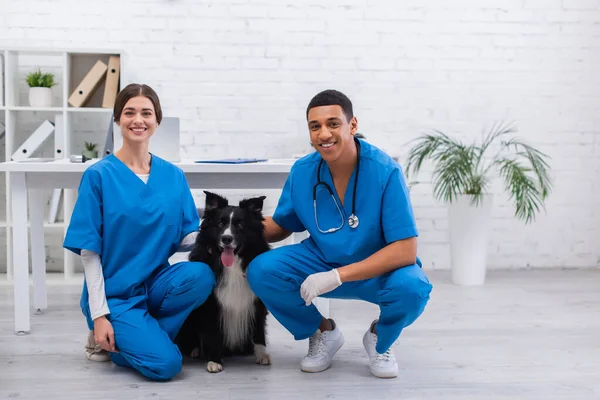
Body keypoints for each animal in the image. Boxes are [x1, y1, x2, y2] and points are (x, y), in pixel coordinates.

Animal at [176, 191, 272, 372]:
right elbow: (214, 333)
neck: (232, 265)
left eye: (240, 225)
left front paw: (262, 354)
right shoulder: (211, 304)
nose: (227, 238)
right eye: (220, 223)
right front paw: (214, 361)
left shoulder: (257, 302)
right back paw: (196, 350)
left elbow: (258, 329)